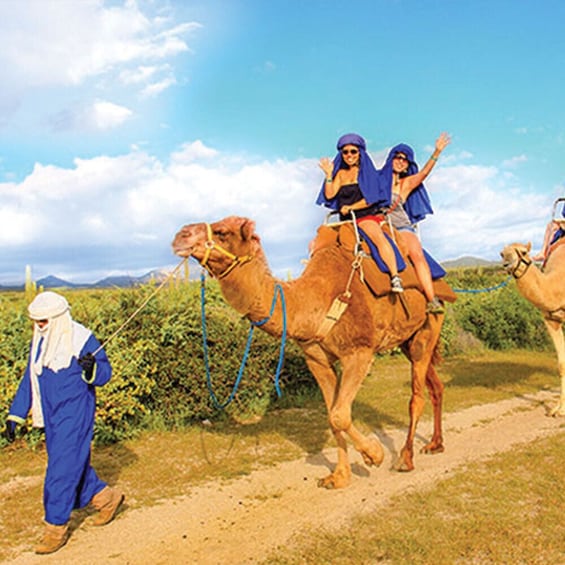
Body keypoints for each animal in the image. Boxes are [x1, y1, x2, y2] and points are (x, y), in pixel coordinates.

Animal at [172, 217, 454, 490]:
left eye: (222, 231)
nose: (179, 236)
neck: (314, 300)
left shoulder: (359, 352)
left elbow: (340, 415)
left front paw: (374, 455)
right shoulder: (316, 360)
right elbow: (332, 416)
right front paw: (339, 477)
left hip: (428, 329)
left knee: (416, 395)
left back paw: (405, 458)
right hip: (408, 339)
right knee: (435, 386)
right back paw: (435, 444)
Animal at [500, 238, 560, 414]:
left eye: (524, 252)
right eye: (501, 253)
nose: (507, 262)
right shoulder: (551, 320)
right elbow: (562, 364)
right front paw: (558, 409)